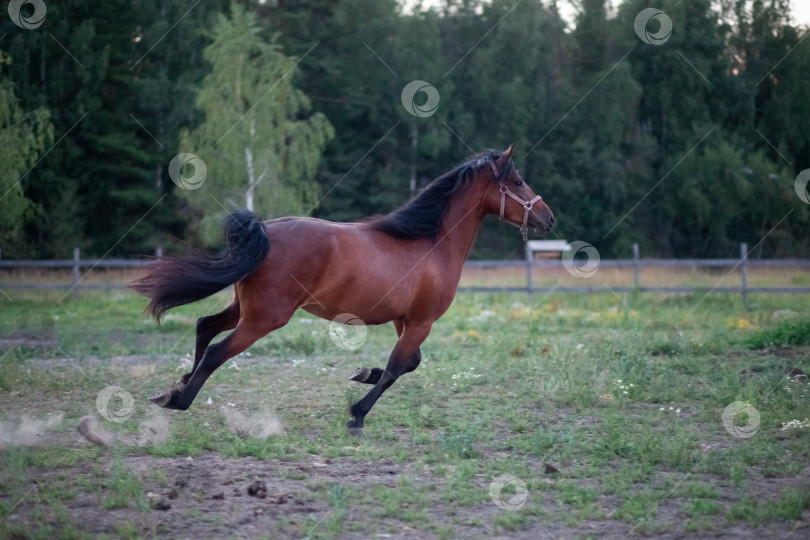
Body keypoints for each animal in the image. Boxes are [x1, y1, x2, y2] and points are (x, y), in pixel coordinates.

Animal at [131, 146, 548, 436]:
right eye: (516, 182)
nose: (548, 216)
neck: (432, 244)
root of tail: (264, 230)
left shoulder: (406, 321)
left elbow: (408, 364)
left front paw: (362, 373)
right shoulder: (420, 322)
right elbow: (396, 369)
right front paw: (357, 415)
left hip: (245, 307)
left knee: (205, 325)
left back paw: (174, 388)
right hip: (265, 317)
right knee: (217, 350)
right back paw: (180, 401)